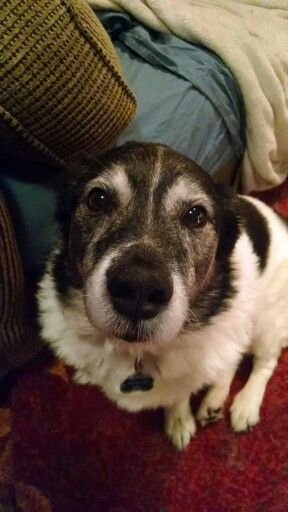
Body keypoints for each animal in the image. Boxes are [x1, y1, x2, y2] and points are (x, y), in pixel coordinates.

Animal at [37, 143, 288, 448]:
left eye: (196, 215)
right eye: (98, 199)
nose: (139, 288)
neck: (136, 351)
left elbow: (179, 395)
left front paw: (178, 421)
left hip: (267, 321)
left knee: (264, 362)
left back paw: (246, 404)